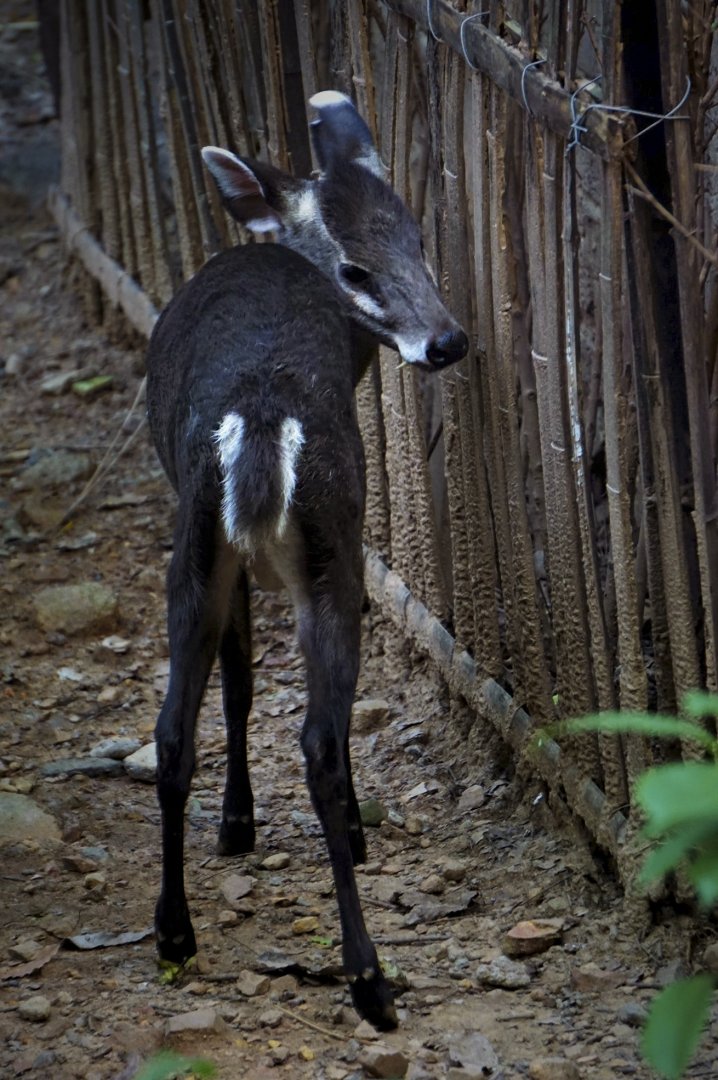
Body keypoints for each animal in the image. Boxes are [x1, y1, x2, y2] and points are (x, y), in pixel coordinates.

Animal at [145, 90, 468, 1030]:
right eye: (355, 270)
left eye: (419, 239)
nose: (448, 341)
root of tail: (260, 422)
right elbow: (256, 685)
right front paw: (266, 824)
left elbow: (235, 684)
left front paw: (237, 822)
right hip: (329, 544)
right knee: (317, 736)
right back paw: (369, 975)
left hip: (196, 545)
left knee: (170, 731)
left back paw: (174, 932)